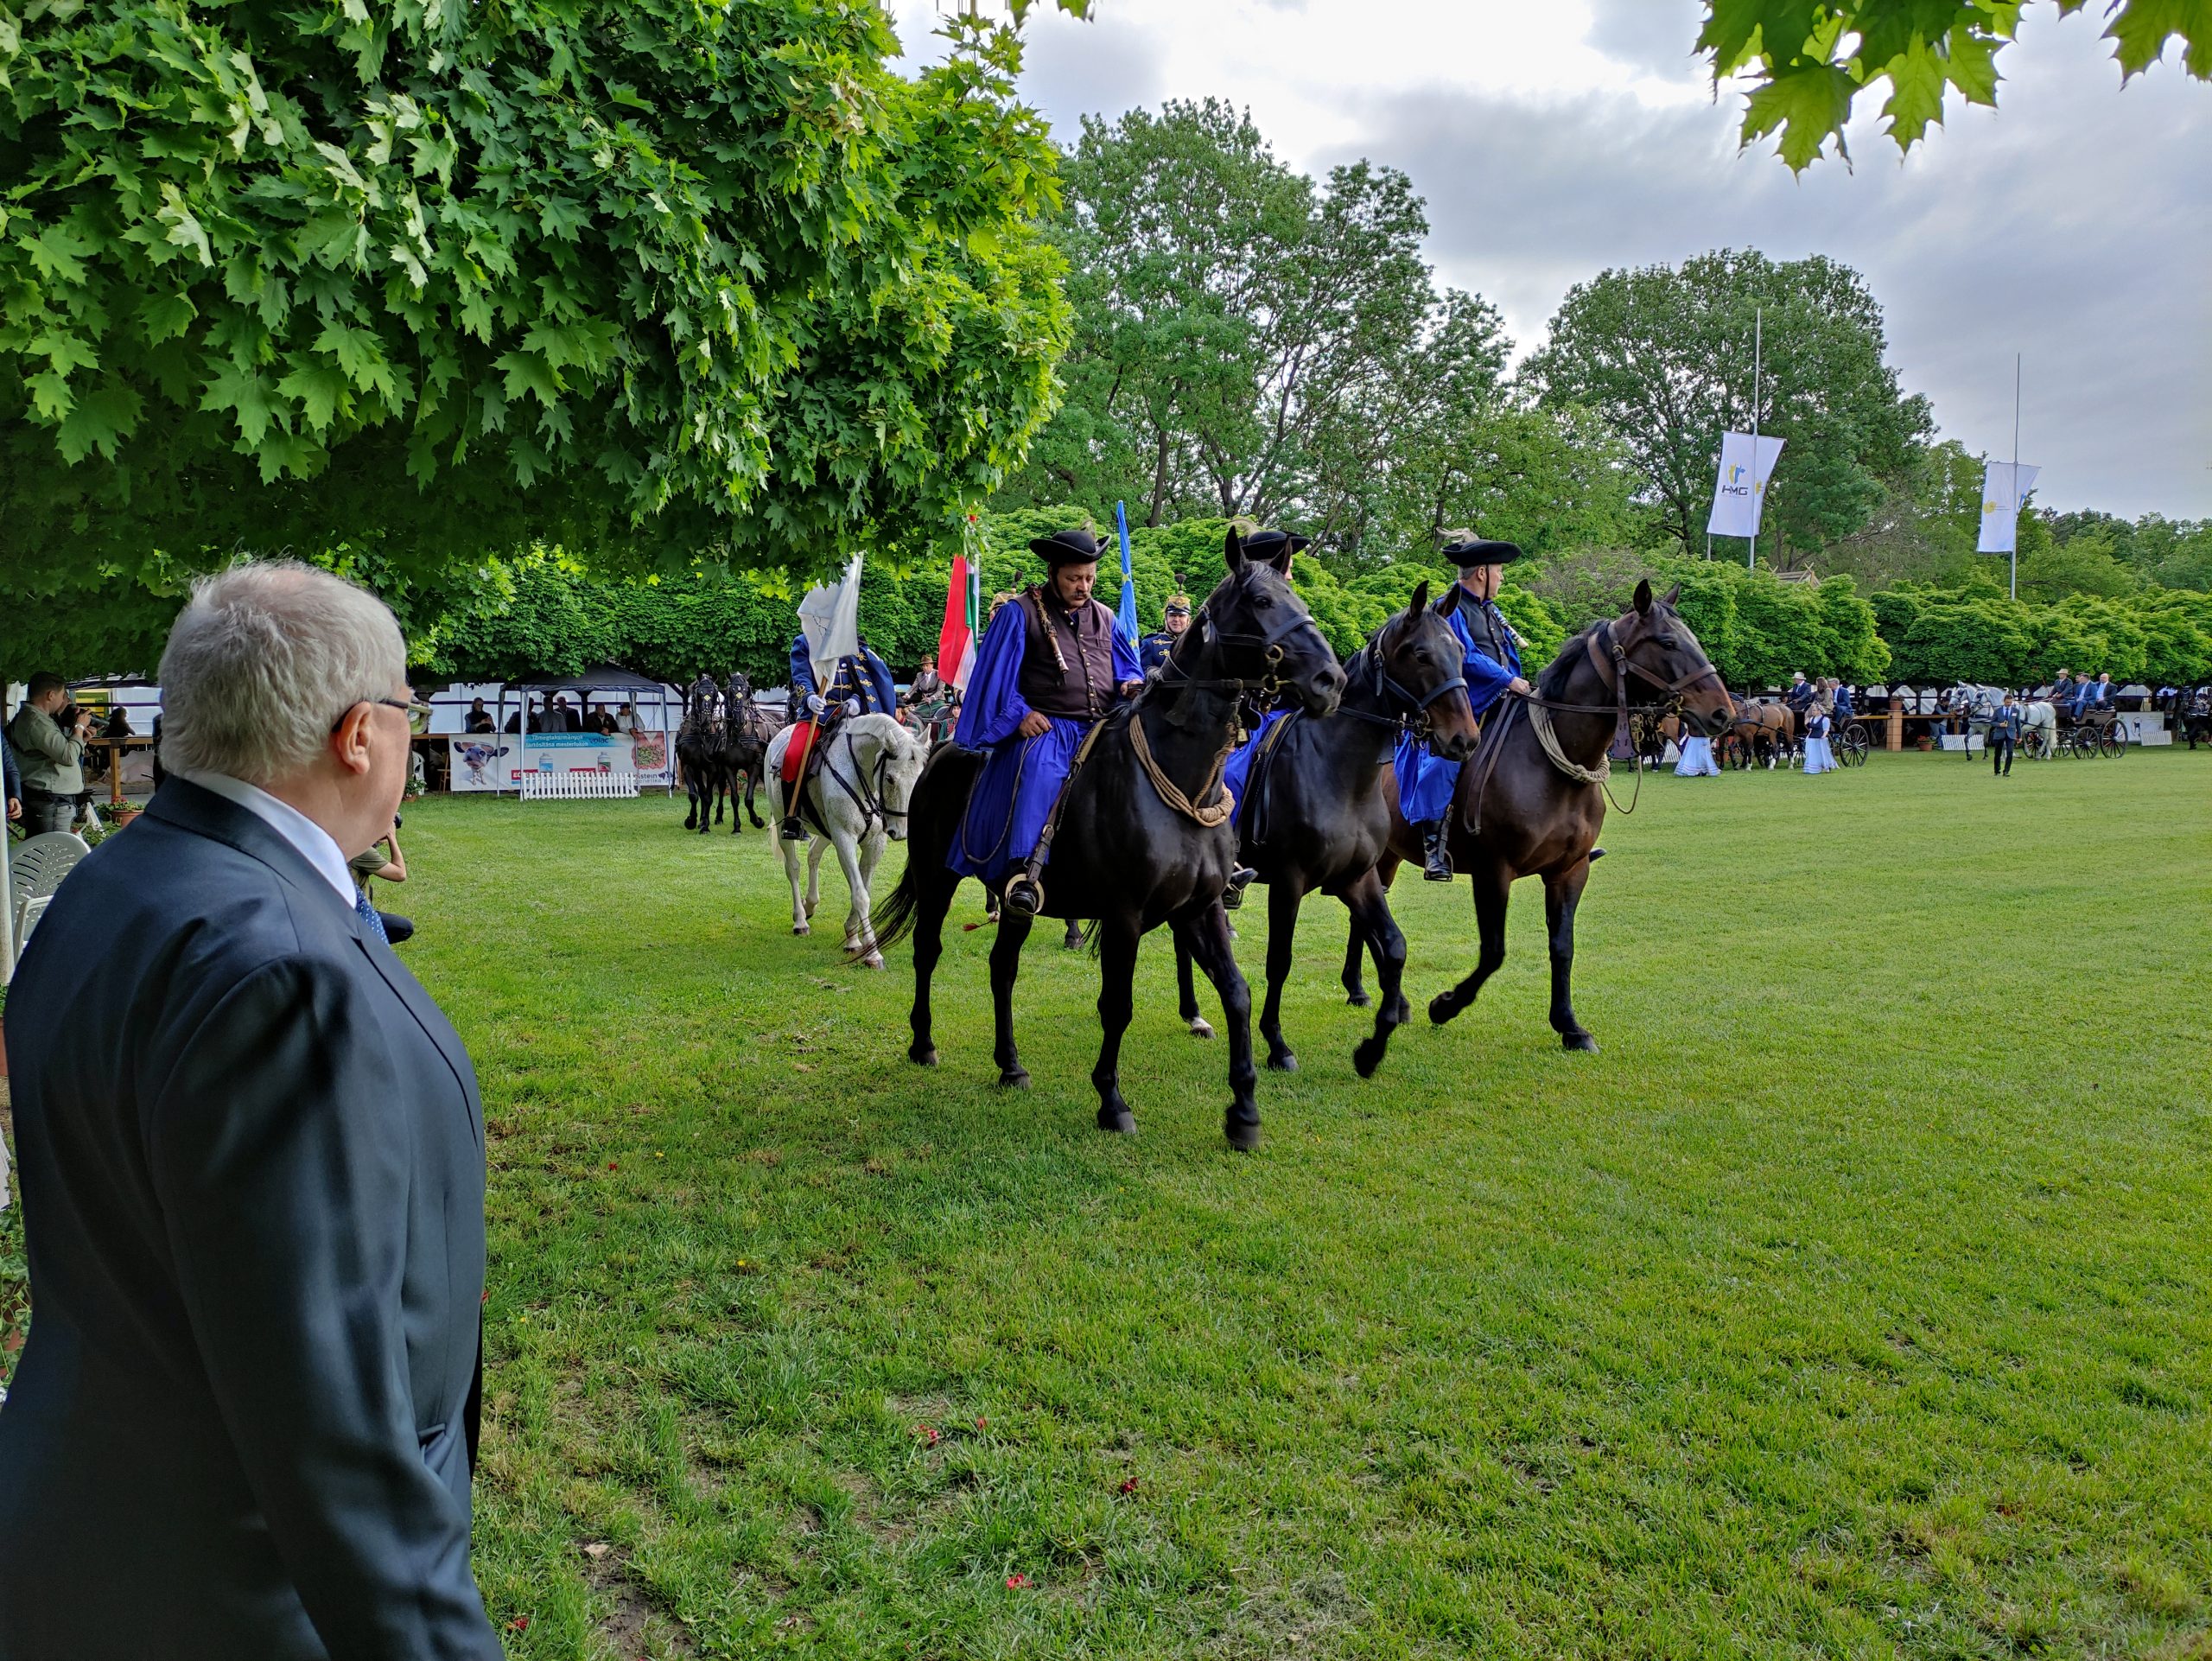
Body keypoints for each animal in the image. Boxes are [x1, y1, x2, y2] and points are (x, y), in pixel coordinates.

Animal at [765, 716, 929, 973]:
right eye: (890, 778)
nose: (901, 832)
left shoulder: (874, 843)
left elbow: (863, 888)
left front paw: (852, 937)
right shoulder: (844, 838)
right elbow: (860, 895)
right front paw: (873, 953)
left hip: (825, 830)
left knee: (813, 854)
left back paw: (810, 904)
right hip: (784, 820)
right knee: (793, 868)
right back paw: (800, 919)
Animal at [871, 528, 1336, 1141]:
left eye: (1296, 597)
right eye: (1261, 602)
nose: (1332, 680)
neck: (1181, 780)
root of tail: (942, 748)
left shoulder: (1202, 907)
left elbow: (1237, 993)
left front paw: (1243, 1111)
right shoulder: (1124, 915)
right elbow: (1117, 1005)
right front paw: (1112, 1101)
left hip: (1016, 900)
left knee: (1003, 969)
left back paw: (1010, 1065)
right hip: (936, 877)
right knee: (928, 949)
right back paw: (923, 1042)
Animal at [1159, 579, 1486, 1079]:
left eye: (1459, 650)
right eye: (1419, 653)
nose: (1464, 739)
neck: (1340, 772)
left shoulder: (1359, 878)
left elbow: (1393, 946)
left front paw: (1374, 1045)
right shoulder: (1288, 882)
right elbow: (1280, 960)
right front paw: (1276, 1044)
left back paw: (1194, 1013)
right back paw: (1195, 1014)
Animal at [1336, 579, 1734, 1053]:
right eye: (1668, 642)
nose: (1723, 712)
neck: (1552, 766)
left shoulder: (1571, 870)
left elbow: (1563, 947)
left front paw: (1570, 1026)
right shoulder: (1493, 871)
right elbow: (1494, 952)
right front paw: (1445, 1005)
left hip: (1388, 856)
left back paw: (1365, 990)